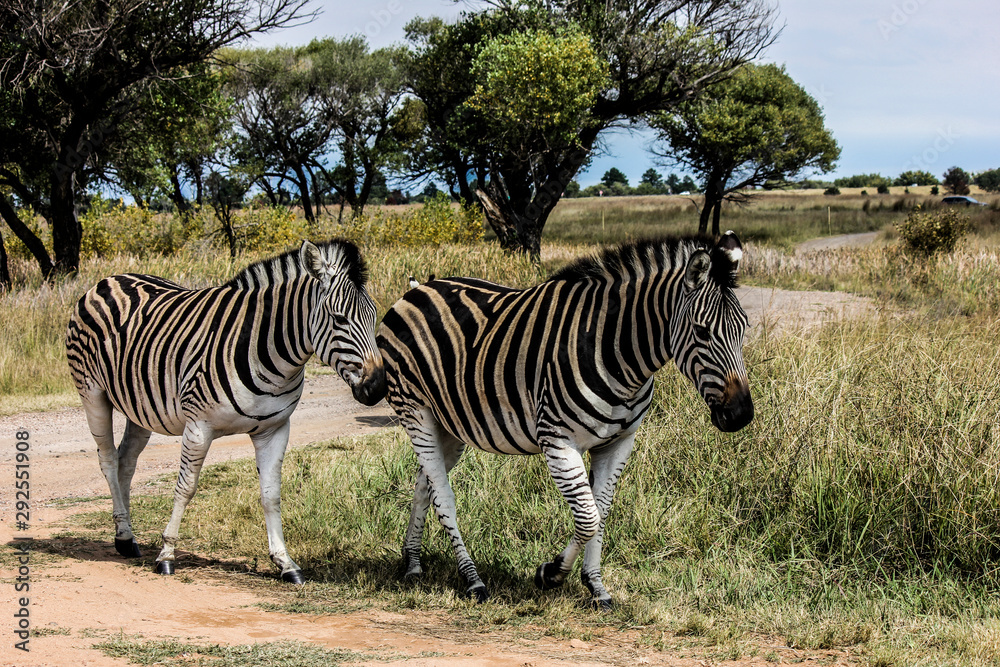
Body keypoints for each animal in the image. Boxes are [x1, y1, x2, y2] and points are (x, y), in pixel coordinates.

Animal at [66, 239, 385, 583]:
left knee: (126, 462)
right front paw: (166, 555)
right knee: (109, 460)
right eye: (339, 319)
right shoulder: (198, 426)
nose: (377, 387)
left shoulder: (274, 429)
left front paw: (285, 562)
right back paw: (125, 536)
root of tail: (109, 279)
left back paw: (126, 536)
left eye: (374, 316)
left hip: (140, 405)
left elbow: (271, 494)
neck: (269, 352)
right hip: (92, 393)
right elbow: (185, 488)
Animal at [377, 232, 753, 608]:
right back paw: (472, 579)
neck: (617, 353)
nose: (741, 415)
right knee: (443, 497)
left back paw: (412, 563)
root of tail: (416, 290)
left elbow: (602, 512)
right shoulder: (557, 439)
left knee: (424, 486)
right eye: (702, 332)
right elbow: (588, 518)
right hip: (416, 412)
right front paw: (551, 574)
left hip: (451, 425)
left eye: (745, 328)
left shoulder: (619, 442)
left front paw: (596, 586)